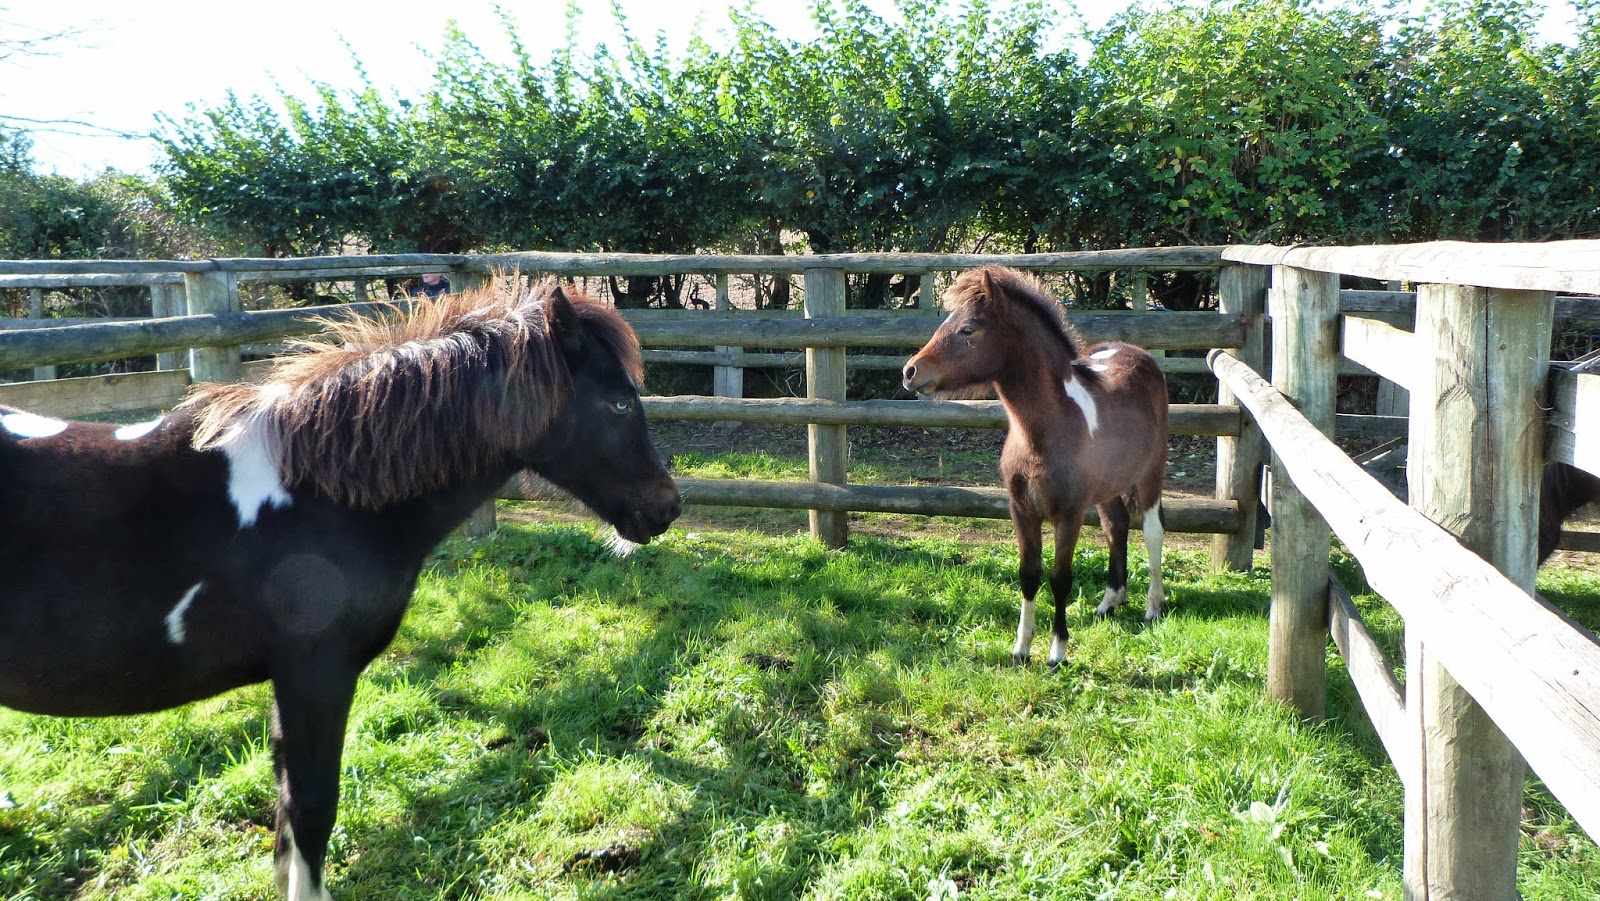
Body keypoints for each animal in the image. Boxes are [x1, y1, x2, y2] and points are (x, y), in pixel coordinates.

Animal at [0, 281, 681, 900]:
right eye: (620, 404)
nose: (666, 507)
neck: (323, 496)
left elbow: (287, 814)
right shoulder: (316, 675)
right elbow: (311, 808)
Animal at [902, 265, 1170, 666]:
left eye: (968, 329)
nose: (910, 371)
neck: (1043, 432)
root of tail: (1140, 354)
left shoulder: (1069, 514)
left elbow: (1060, 577)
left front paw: (1057, 651)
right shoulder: (1022, 510)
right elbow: (1029, 574)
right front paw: (1021, 648)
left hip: (1151, 472)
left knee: (1152, 530)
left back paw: (1153, 607)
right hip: (1106, 487)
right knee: (1117, 526)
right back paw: (1110, 601)